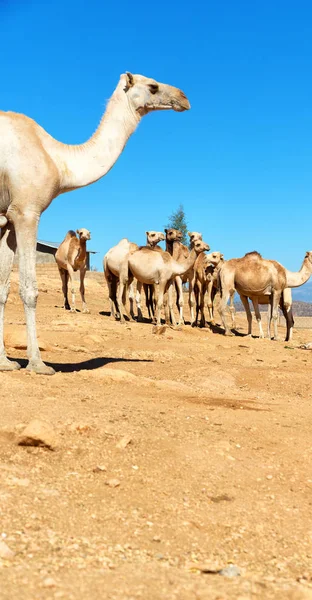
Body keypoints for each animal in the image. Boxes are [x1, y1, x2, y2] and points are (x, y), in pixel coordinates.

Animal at [0, 72, 190, 372]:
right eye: (153, 86)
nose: (184, 97)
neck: (58, 160)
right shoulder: (26, 211)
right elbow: (29, 289)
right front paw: (38, 364)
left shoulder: (8, 219)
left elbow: (3, 288)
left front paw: (5, 362)